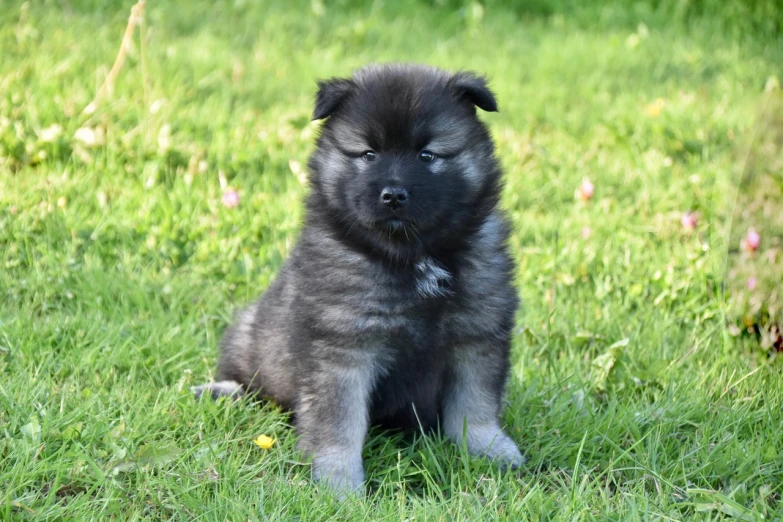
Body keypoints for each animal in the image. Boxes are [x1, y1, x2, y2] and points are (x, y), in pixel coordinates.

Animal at [196, 63, 528, 494]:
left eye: (427, 155)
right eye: (369, 154)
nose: (393, 195)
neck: (411, 256)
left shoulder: (477, 334)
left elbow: (476, 404)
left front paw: (489, 449)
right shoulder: (343, 348)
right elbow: (339, 423)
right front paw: (338, 482)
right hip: (250, 337)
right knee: (249, 384)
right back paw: (219, 391)